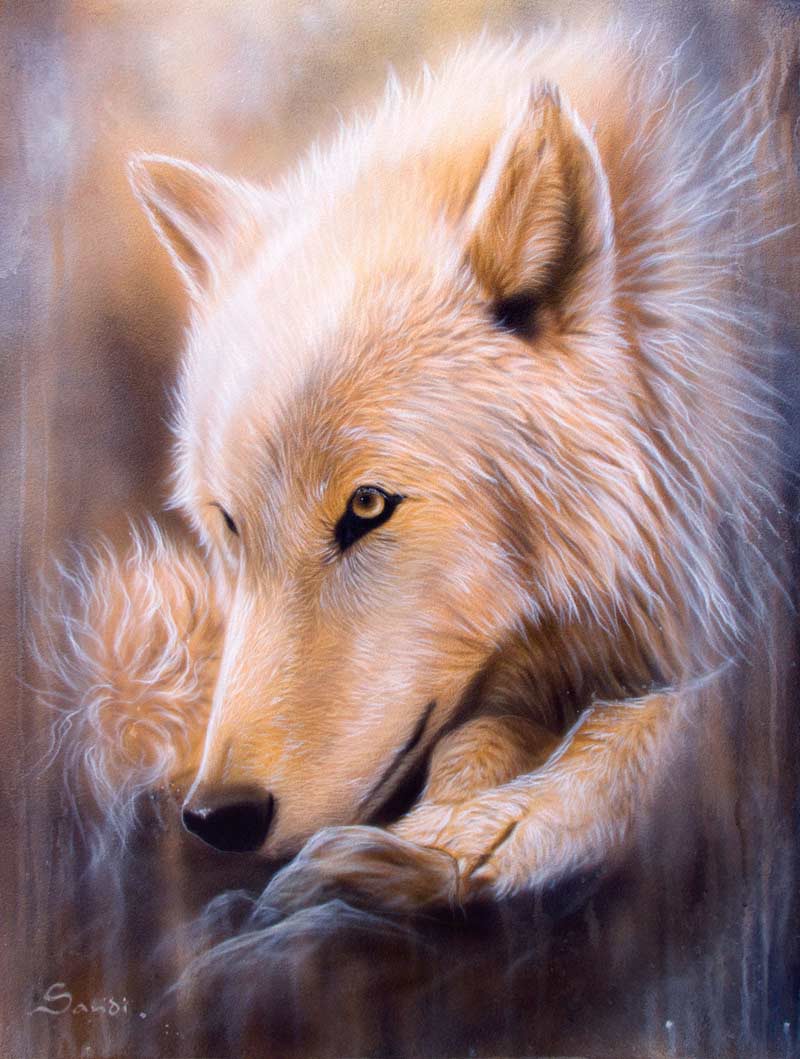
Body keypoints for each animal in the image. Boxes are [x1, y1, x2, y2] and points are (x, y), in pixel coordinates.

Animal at [40, 25, 786, 913]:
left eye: (367, 506)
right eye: (231, 525)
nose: (217, 817)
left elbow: (673, 718)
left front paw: (472, 837)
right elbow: (481, 735)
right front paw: (448, 823)